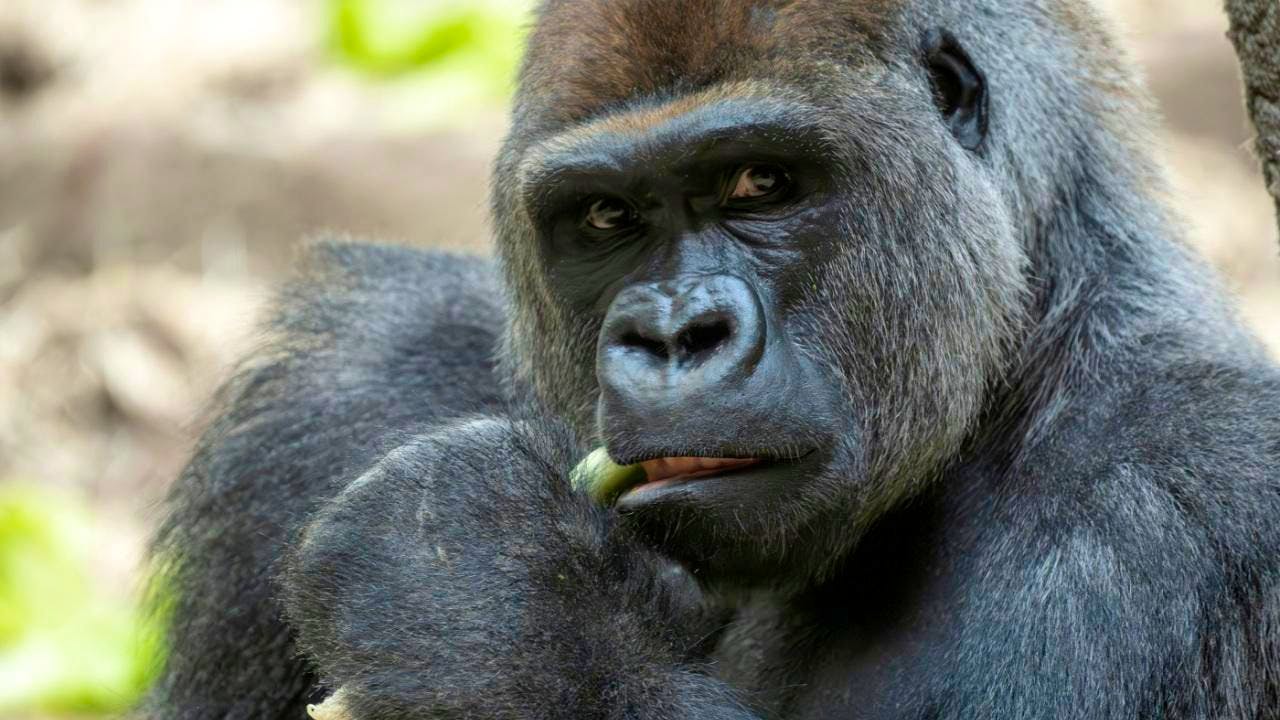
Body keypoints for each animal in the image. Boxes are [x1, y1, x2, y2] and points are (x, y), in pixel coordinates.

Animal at [147, 0, 1280, 718]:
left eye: (759, 184)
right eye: (605, 216)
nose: (671, 336)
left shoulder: (1195, 488)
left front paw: (483, 589)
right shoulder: (350, 377)